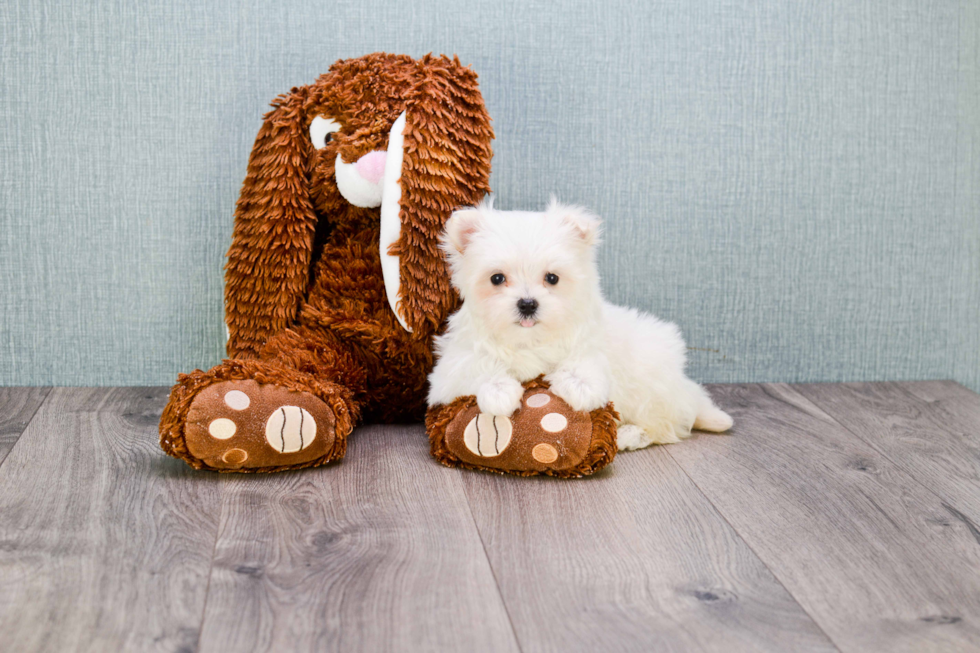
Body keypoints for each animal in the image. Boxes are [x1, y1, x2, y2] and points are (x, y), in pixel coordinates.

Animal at [424, 199, 732, 450]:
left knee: (663, 426)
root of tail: (685, 390)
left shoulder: (591, 344)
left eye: (552, 278)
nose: (527, 303)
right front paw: (499, 392)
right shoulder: (450, 369)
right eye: (497, 278)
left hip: (650, 378)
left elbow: (585, 362)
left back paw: (629, 435)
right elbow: (476, 366)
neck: (529, 339)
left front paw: (579, 385)